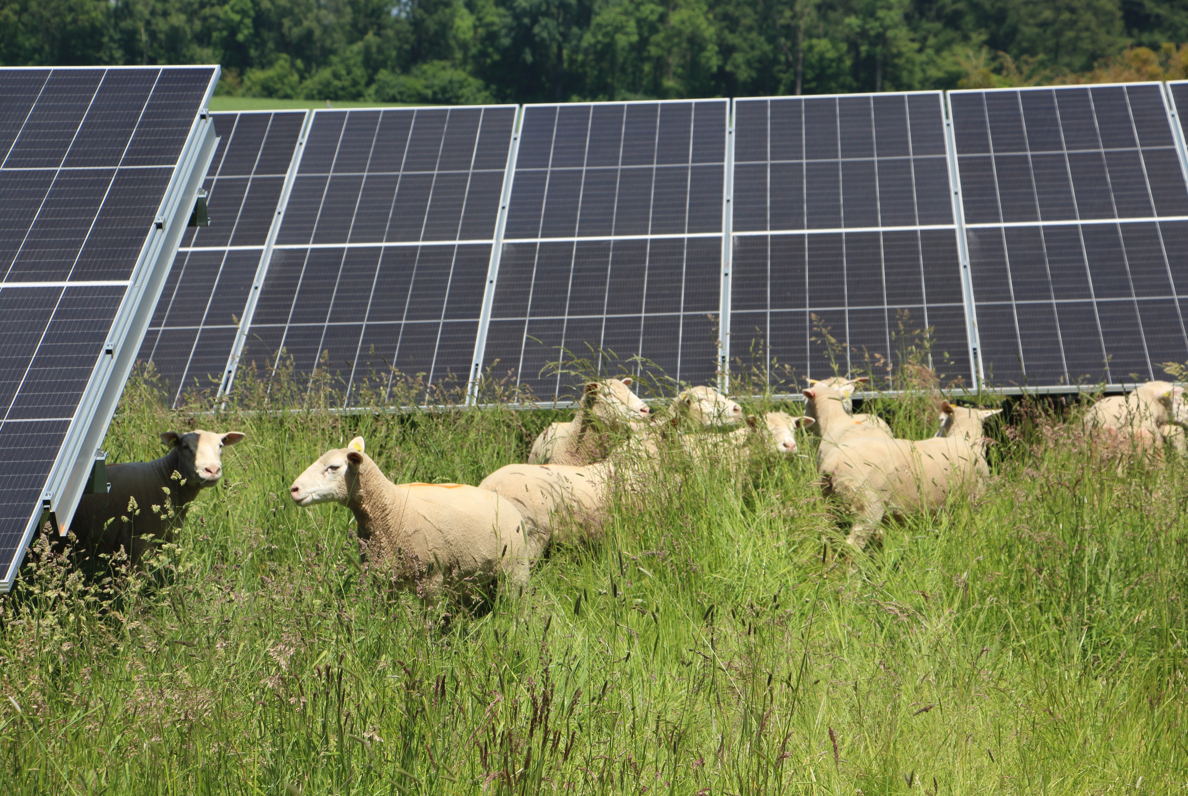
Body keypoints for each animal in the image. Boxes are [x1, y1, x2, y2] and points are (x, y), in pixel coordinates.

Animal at [289, 439, 532, 601]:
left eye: (334, 467)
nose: (293, 489)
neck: (390, 508)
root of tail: (506, 502)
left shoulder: (431, 578)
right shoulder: (382, 577)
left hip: (516, 569)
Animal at [807, 384, 1002, 548]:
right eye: (941, 418)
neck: (964, 438)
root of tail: (833, 464)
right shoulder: (971, 503)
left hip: (832, 503)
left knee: (828, 537)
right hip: (868, 505)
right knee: (852, 545)